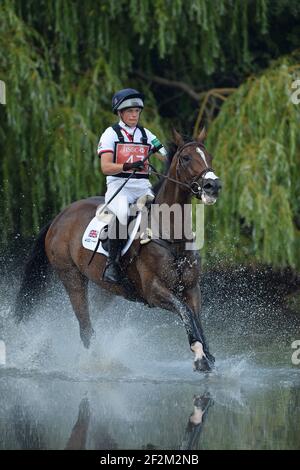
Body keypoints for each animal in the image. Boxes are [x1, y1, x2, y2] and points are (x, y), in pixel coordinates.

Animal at [15, 129, 221, 370]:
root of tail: (60, 216)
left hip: (106, 288)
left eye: (209, 156)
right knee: (85, 327)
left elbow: (196, 318)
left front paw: (207, 354)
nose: (213, 187)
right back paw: (93, 363)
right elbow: (186, 313)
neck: (173, 236)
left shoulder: (191, 288)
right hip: (72, 277)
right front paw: (199, 355)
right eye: (186, 158)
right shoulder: (154, 291)